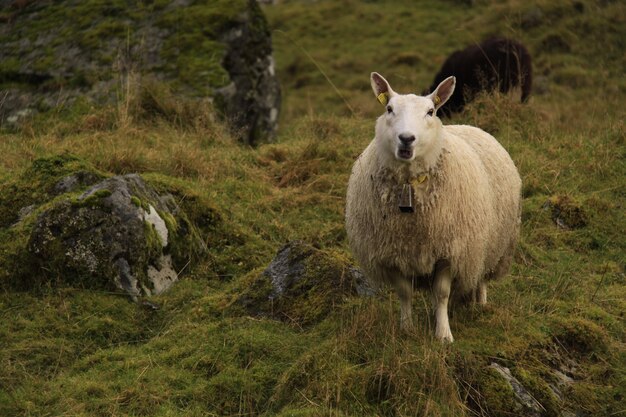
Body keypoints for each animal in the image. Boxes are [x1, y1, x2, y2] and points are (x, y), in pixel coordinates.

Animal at [344, 73, 520, 342]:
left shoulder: (449, 249)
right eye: (389, 109)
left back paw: (481, 304)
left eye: (430, 111)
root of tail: (466, 125)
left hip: (488, 244)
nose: (406, 138)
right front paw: (407, 328)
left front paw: (443, 334)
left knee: (481, 275)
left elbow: (441, 294)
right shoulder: (392, 251)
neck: (409, 187)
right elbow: (404, 292)